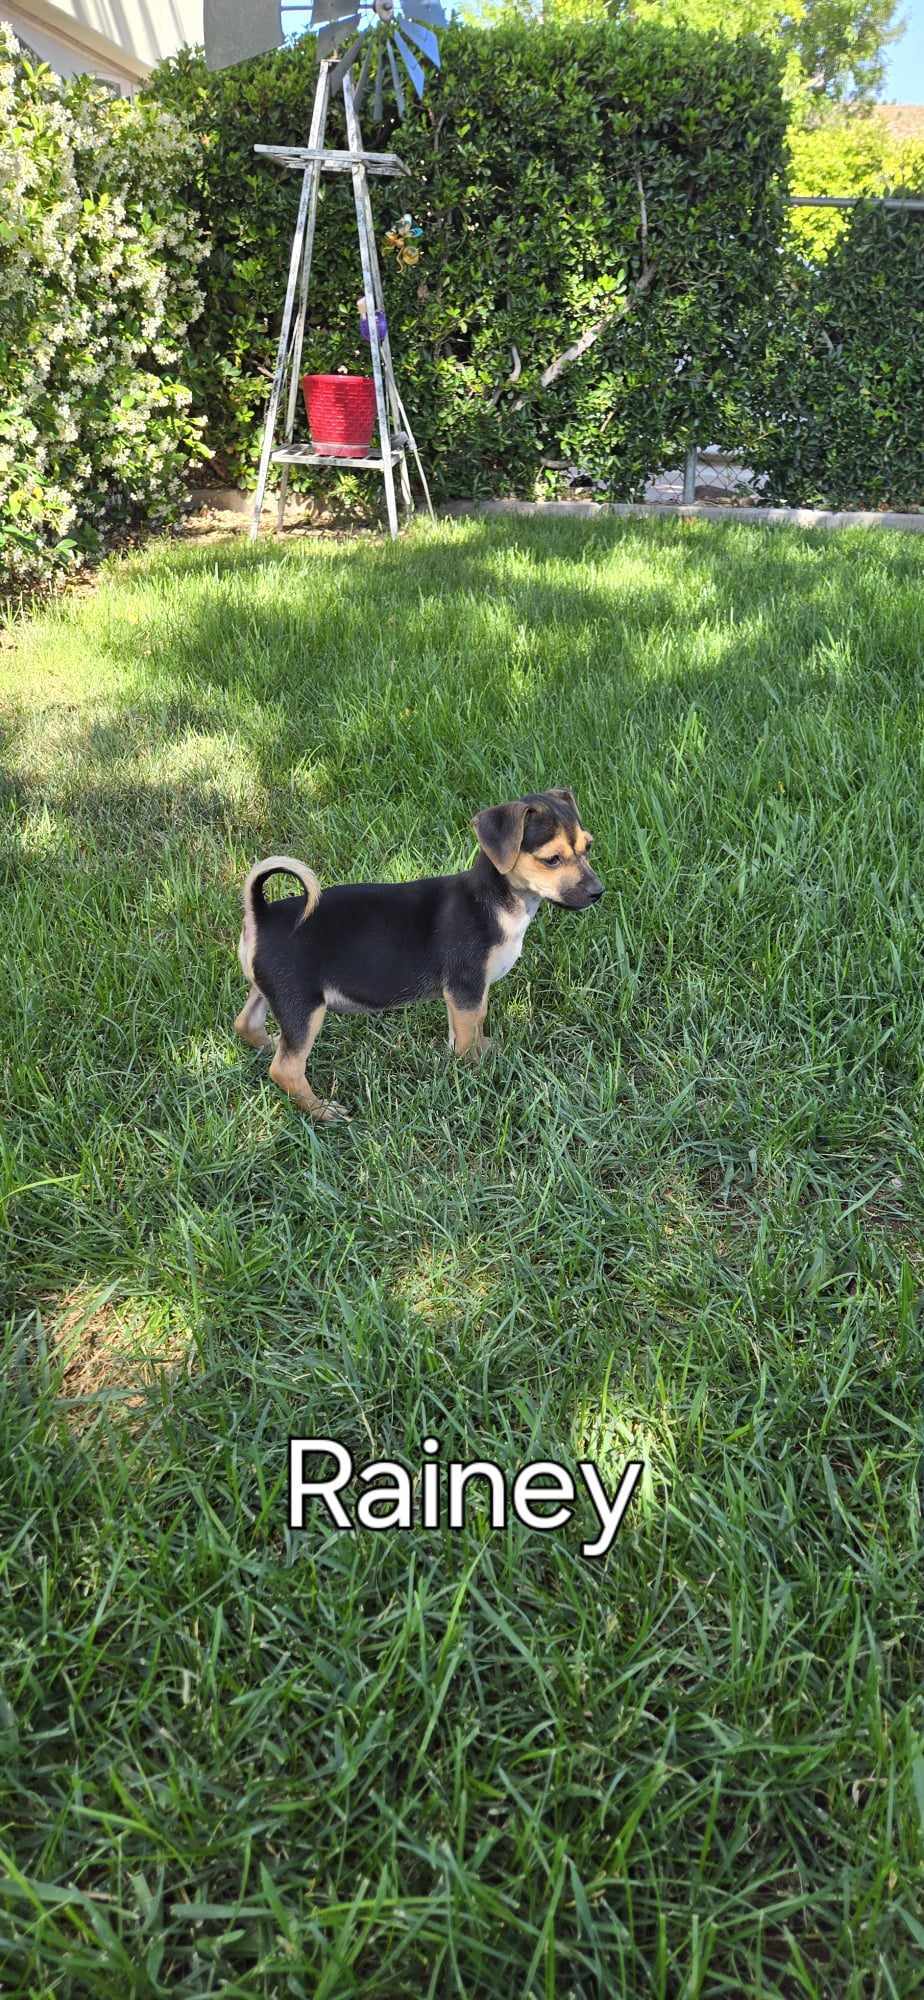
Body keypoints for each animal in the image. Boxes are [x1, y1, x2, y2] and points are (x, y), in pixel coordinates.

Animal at [235, 784, 604, 1128]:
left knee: (247, 1023)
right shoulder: (466, 987)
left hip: (273, 993)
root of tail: (261, 914)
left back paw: (270, 1044)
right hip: (303, 1004)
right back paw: (321, 1111)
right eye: (552, 859)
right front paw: (475, 1071)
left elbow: (472, 1024)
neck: (499, 900)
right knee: (286, 1069)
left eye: (588, 847)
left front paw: (482, 1050)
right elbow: (467, 1034)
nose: (598, 893)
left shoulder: (469, 994)